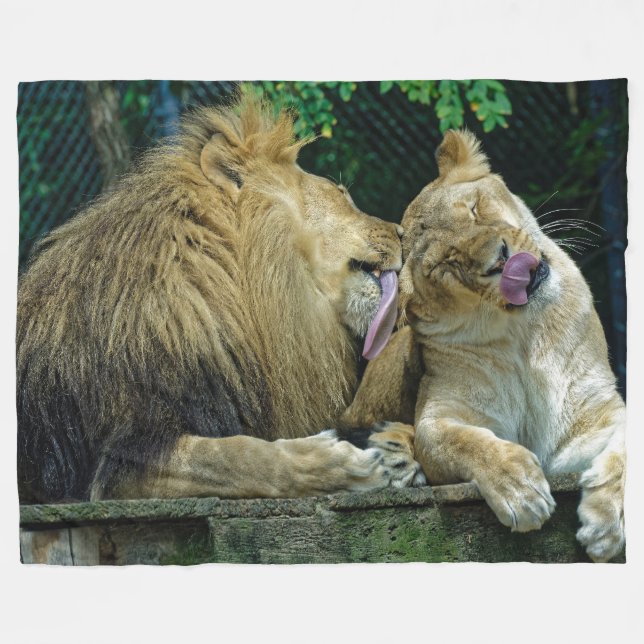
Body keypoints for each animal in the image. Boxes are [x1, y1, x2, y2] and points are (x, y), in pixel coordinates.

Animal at [17, 90, 423, 504]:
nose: (403, 233)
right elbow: (237, 458)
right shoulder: (119, 462)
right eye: (341, 193)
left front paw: (393, 446)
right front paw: (346, 463)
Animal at [344, 130, 626, 562]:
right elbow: (461, 441)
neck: (523, 335)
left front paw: (608, 523)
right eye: (447, 263)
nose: (502, 261)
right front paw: (521, 491)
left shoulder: (592, 415)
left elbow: (628, 446)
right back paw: (395, 454)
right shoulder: (442, 413)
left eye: (475, 209)